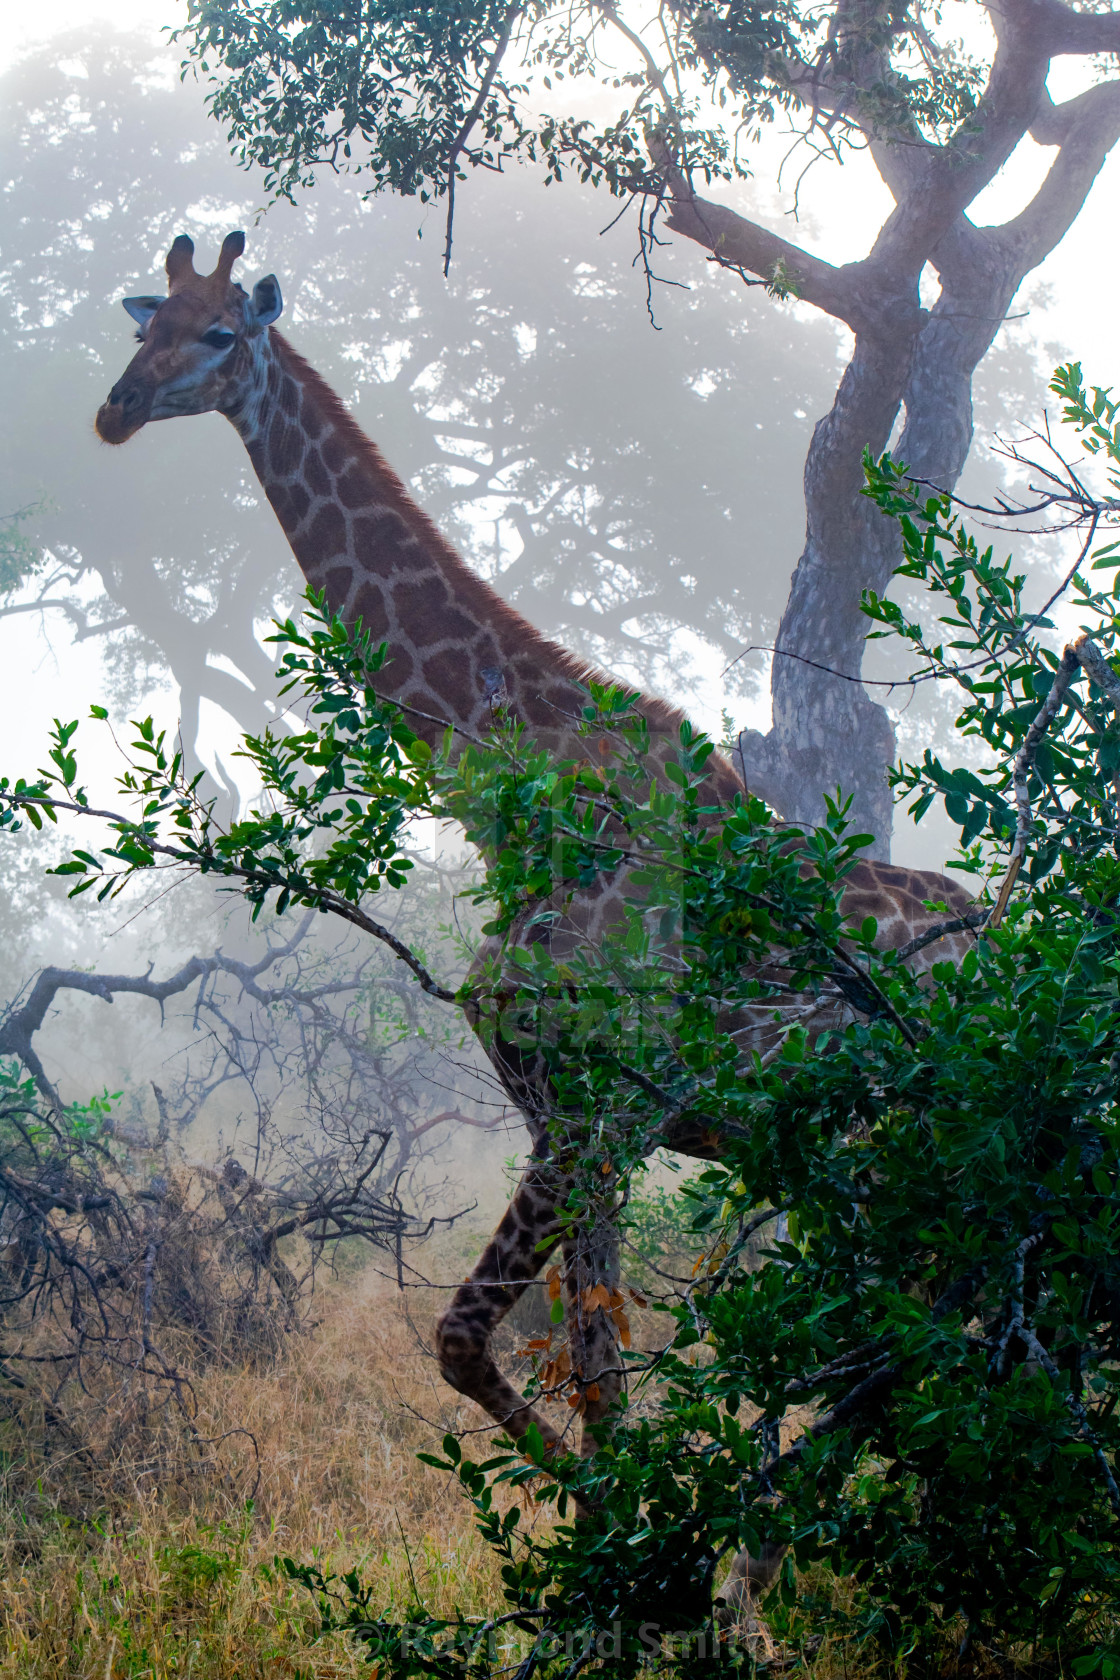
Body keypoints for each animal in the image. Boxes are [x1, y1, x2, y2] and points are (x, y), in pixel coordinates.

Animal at [94, 226, 973, 1599]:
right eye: (145, 322)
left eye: (221, 333)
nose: (118, 407)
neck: (520, 795)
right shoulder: (567, 1109)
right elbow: (592, 1365)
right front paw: (641, 1559)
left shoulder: (601, 1109)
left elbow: (473, 1341)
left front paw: (652, 1566)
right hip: (855, 1156)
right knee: (923, 1330)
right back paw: (774, 1557)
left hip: (899, 1149)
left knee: (933, 1326)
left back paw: (775, 1559)